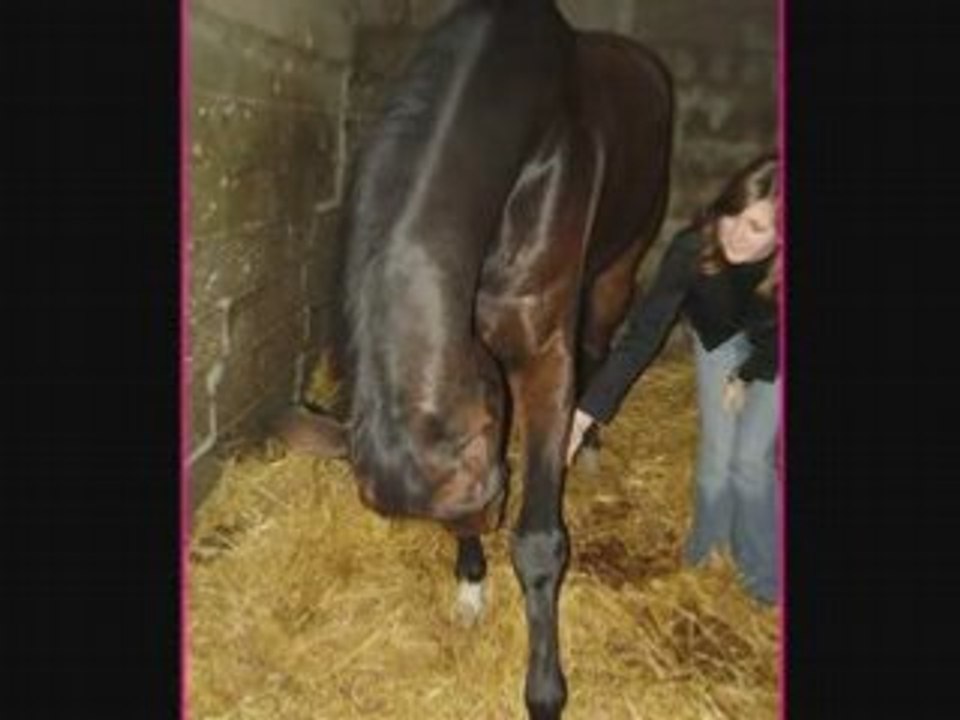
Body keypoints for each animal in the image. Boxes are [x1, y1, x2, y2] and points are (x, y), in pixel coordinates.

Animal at [279, 1, 672, 717]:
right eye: (469, 515)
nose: (478, 535)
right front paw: (469, 588)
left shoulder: (542, 358)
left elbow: (540, 542)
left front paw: (545, 693)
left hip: (619, 267)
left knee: (602, 344)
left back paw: (590, 445)